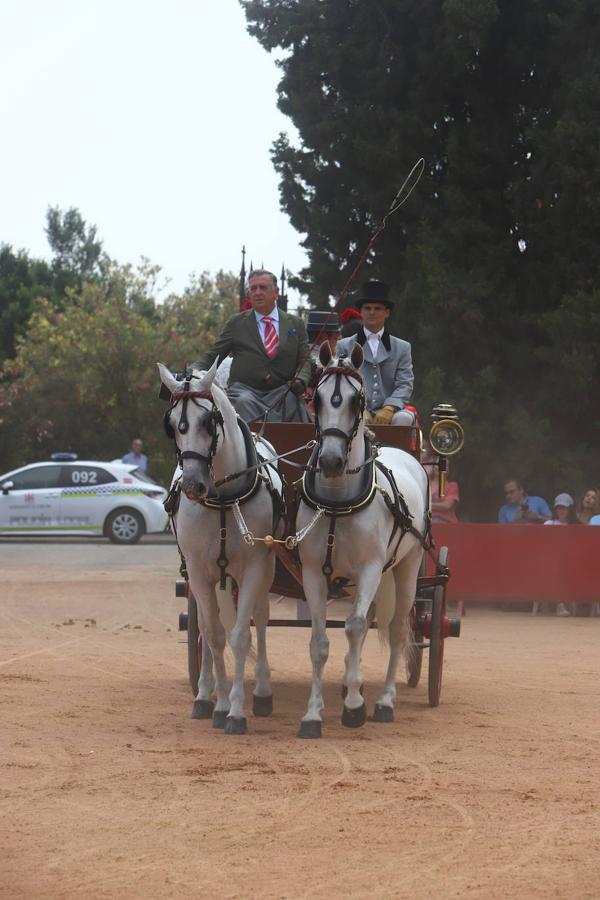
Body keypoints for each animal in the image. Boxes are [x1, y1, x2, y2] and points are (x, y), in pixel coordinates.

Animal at [158, 362, 282, 736]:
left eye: (208, 421)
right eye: (172, 426)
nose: (193, 485)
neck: (224, 497)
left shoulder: (254, 566)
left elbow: (241, 635)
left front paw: (238, 712)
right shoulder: (199, 571)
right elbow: (213, 634)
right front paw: (220, 703)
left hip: (262, 570)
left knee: (260, 618)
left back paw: (262, 692)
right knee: (207, 623)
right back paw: (206, 694)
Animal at [294, 344, 426, 740]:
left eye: (357, 401)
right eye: (317, 399)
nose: (331, 461)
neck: (338, 500)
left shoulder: (370, 568)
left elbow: (353, 627)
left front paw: (354, 707)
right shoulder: (313, 573)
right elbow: (320, 641)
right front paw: (313, 714)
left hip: (407, 566)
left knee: (396, 629)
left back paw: (383, 701)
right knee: (366, 623)